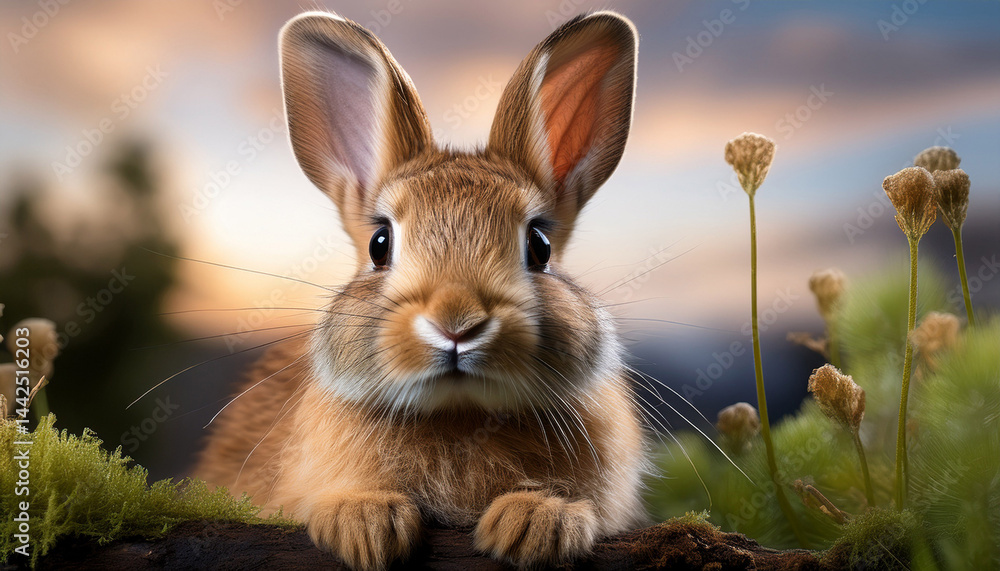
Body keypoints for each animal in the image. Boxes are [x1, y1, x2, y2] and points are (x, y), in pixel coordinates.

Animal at [193, 9, 649, 570]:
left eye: (540, 246)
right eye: (379, 244)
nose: (457, 323)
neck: (459, 413)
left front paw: (534, 524)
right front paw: (365, 525)